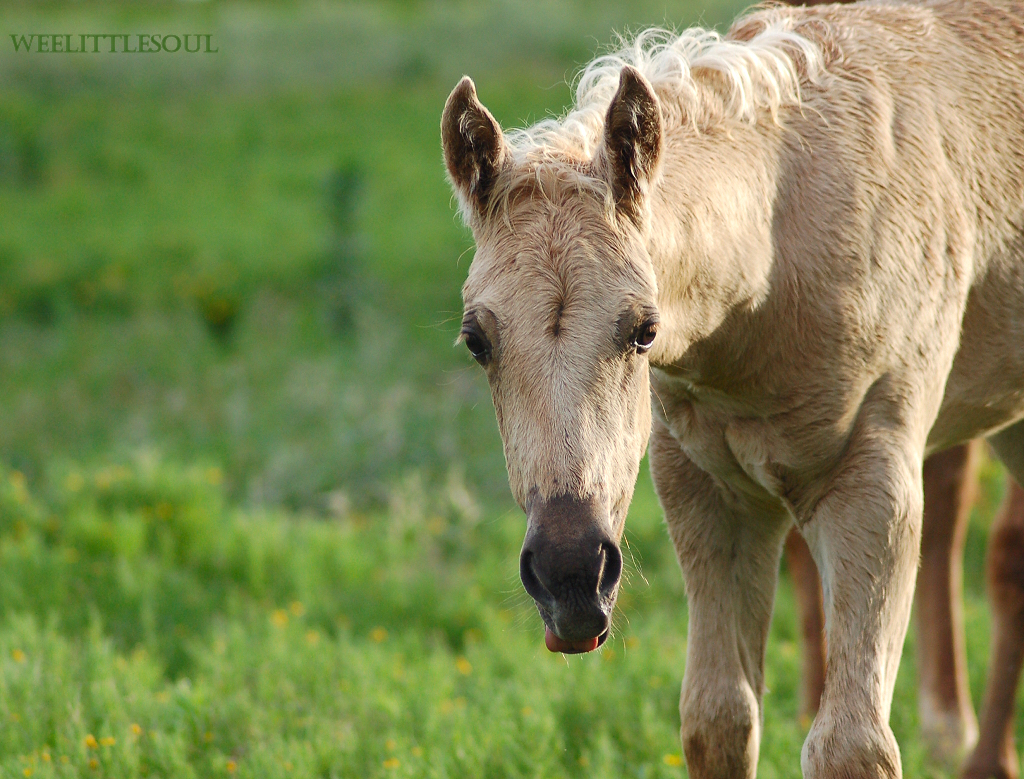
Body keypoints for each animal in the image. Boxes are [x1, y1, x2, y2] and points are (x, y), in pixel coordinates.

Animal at [442, 3, 1024, 773]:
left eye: (644, 329)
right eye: (477, 340)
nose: (569, 575)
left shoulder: (873, 486)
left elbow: (852, 745)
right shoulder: (710, 493)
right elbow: (717, 719)